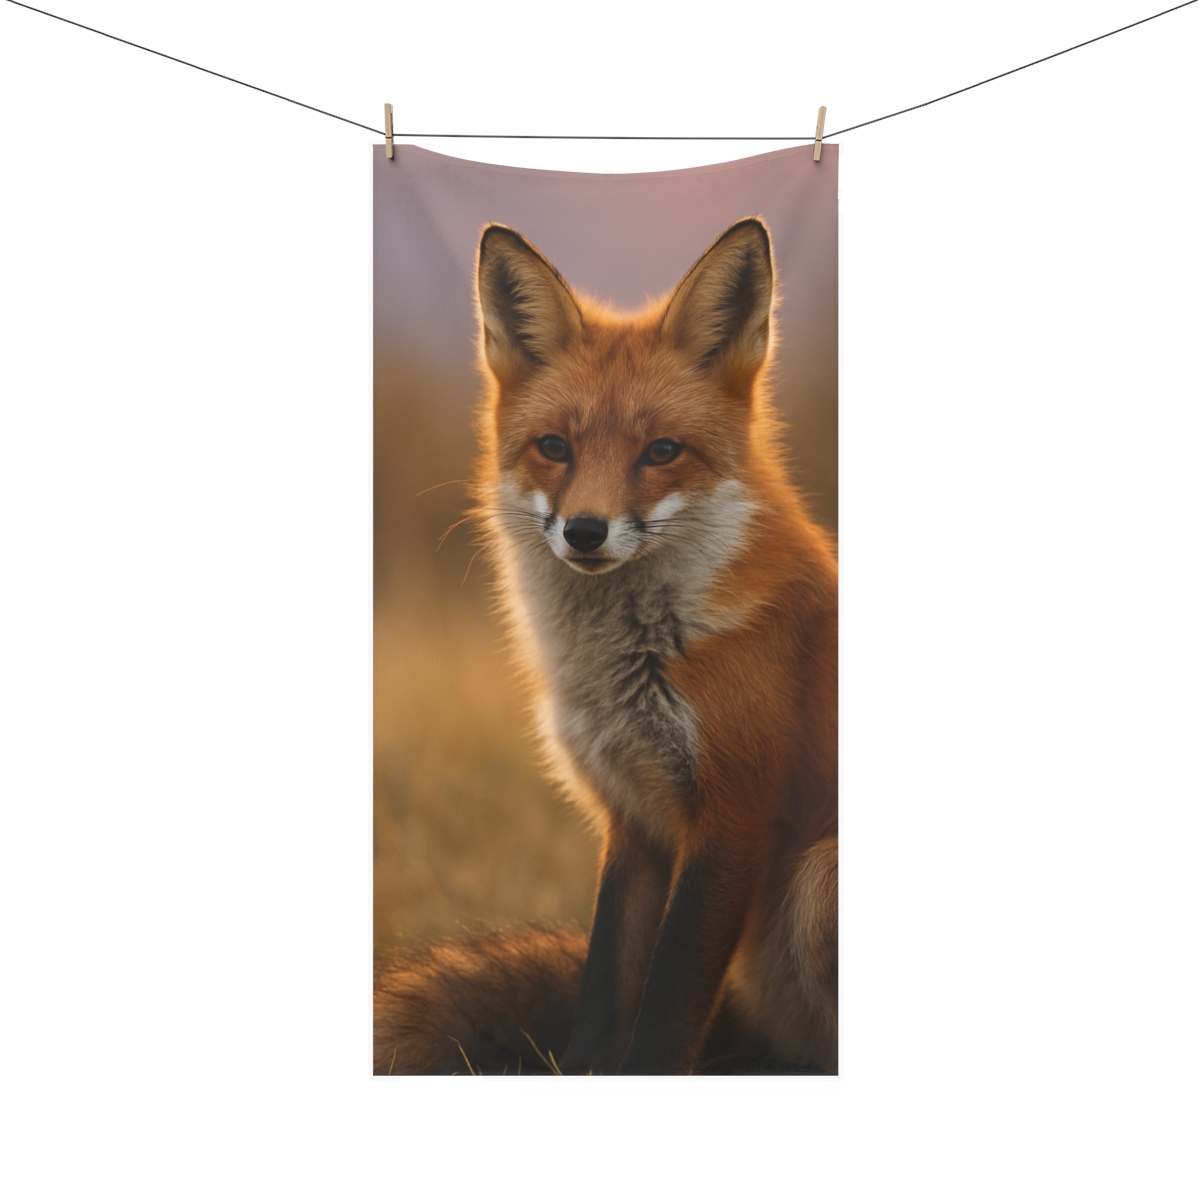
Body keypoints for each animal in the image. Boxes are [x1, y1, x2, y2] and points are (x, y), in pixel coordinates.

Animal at [374, 216, 838, 1075]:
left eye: (661, 452)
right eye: (555, 447)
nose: (585, 530)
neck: (630, 670)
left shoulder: (733, 817)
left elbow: (666, 1007)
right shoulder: (632, 821)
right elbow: (601, 996)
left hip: (819, 882)